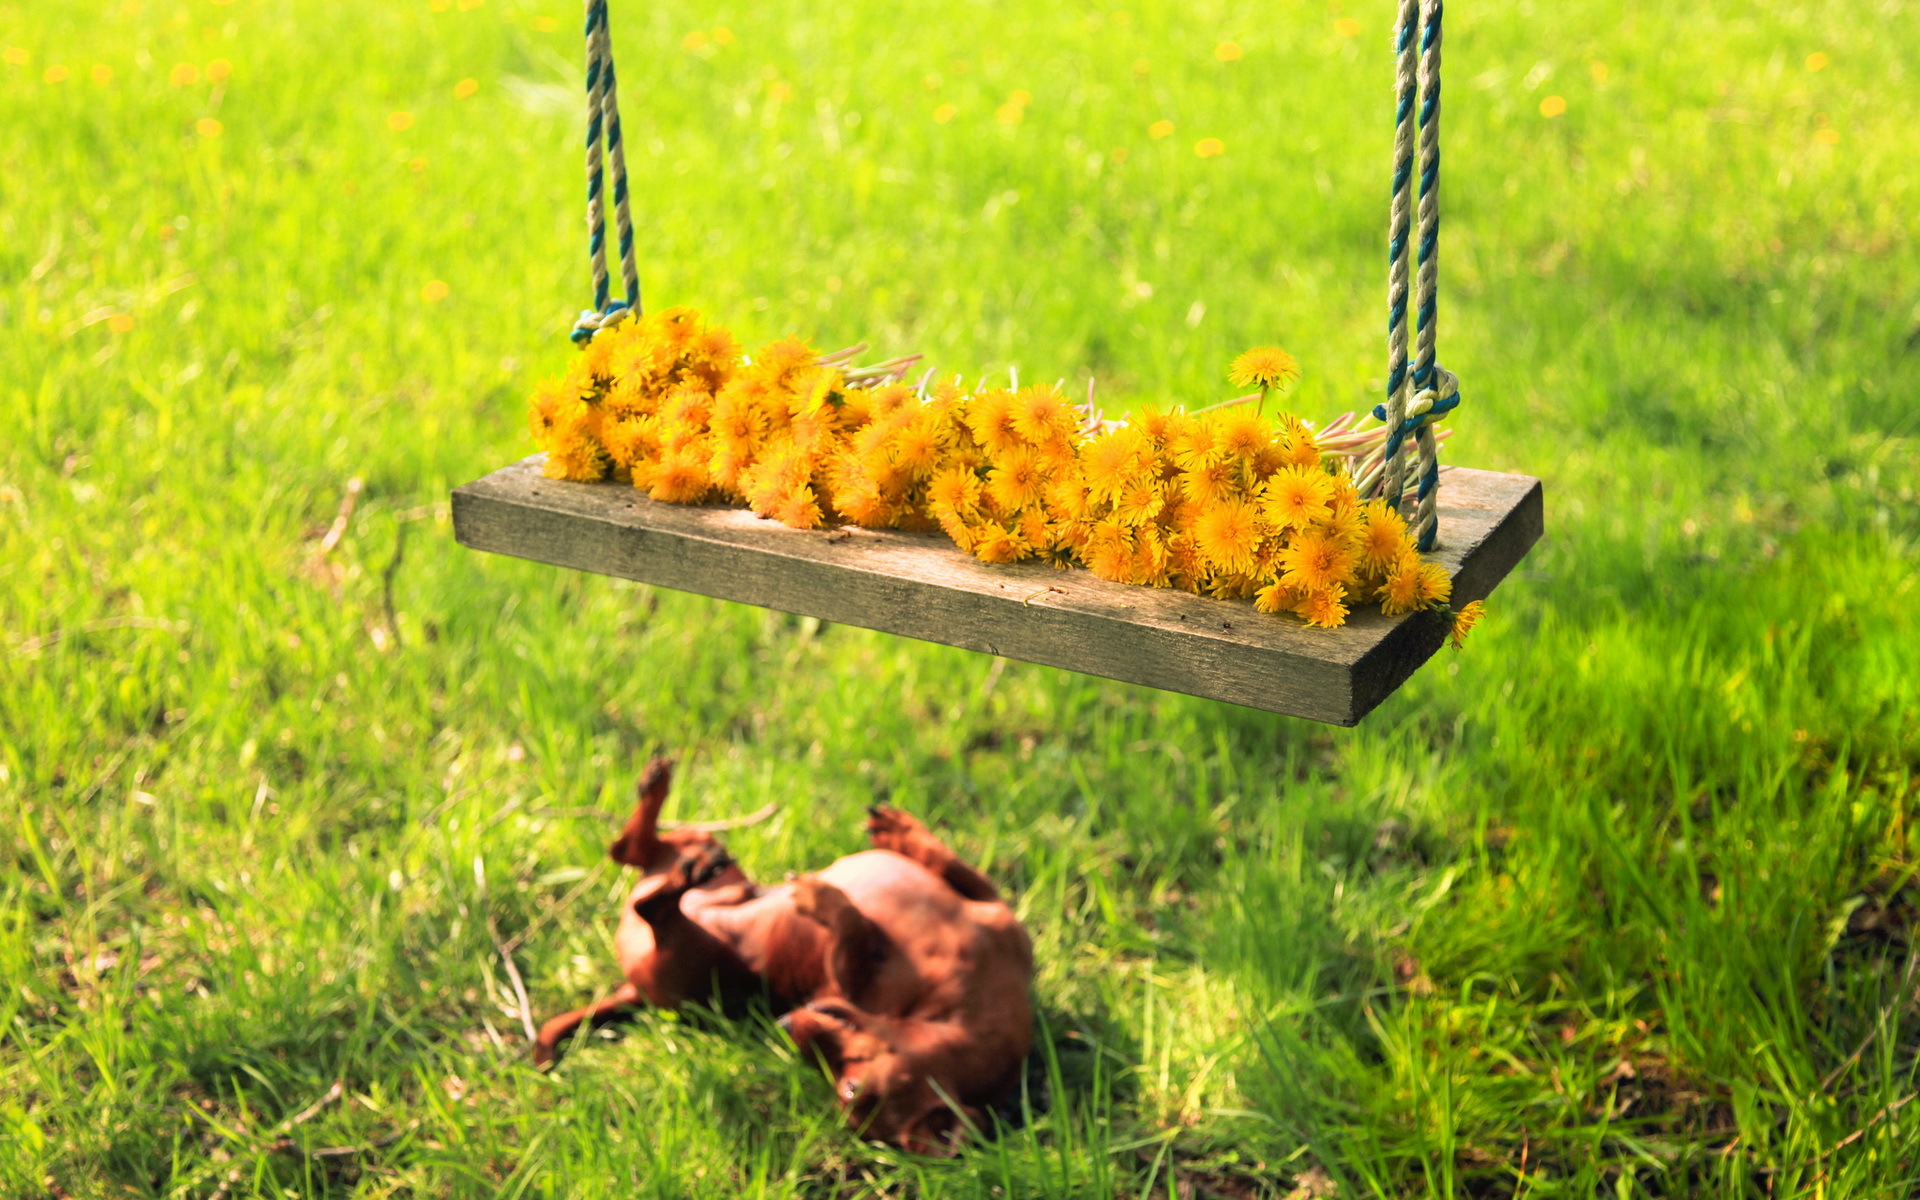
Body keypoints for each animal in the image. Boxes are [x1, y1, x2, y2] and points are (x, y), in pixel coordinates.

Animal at [533, 756, 1036, 1152]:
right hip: (715, 866)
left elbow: (852, 931)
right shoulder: (992, 907)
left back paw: (686, 866)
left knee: (650, 898)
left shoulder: (843, 983)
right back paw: (663, 799)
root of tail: (632, 992)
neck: (961, 1004)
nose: (787, 1023)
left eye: (848, 1088)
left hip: (685, 953)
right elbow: (949, 863)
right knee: (635, 850)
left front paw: (819, 896)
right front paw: (899, 832)